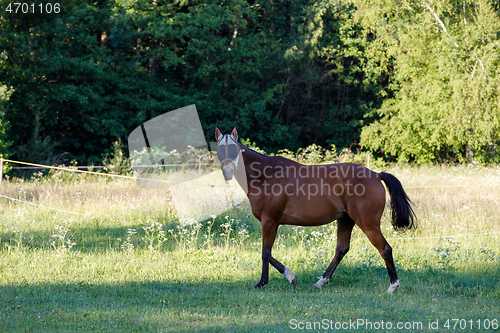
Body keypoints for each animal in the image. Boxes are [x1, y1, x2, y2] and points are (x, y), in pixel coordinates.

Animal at [214, 127, 414, 294]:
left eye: (234, 150)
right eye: (219, 151)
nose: (227, 172)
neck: (266, 175)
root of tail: (376, 175)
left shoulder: (270, 220)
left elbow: (265, 253)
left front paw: (265, 282)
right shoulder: (271, 221)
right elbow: (268, 253)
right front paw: (290, 277)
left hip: (368, 224)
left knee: (385, 249)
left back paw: (392, 286)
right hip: (346, 220)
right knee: (341, 250)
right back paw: (320, 282)